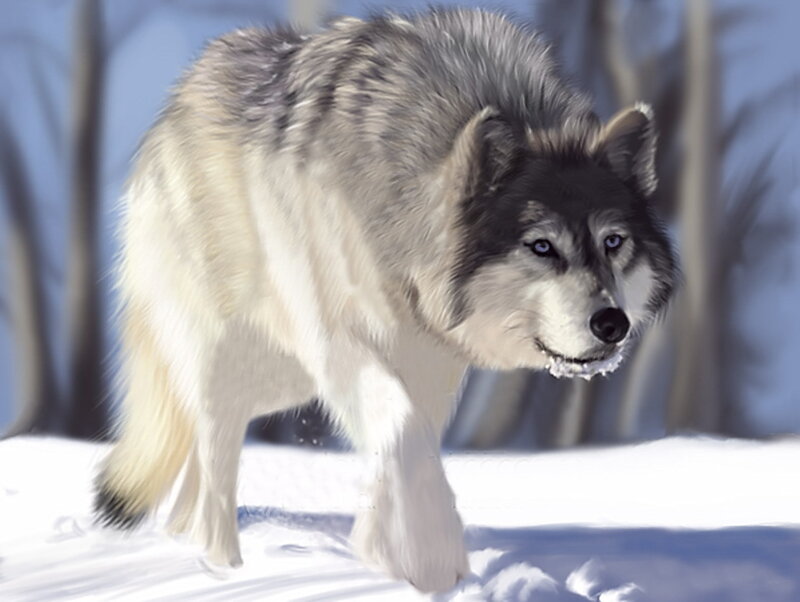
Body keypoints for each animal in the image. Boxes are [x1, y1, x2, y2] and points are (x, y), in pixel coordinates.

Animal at [94, 8, 677, 592]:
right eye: (542, 246)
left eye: (613, 242)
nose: (612, 324)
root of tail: (176, 102)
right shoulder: (342, 342)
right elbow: (400, 430)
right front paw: (425, 559)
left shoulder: (429, 365)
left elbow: (408, 443)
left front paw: (389, 548)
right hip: (230, 359)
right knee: (215, 457)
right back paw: (221, 569)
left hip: (281, 380)